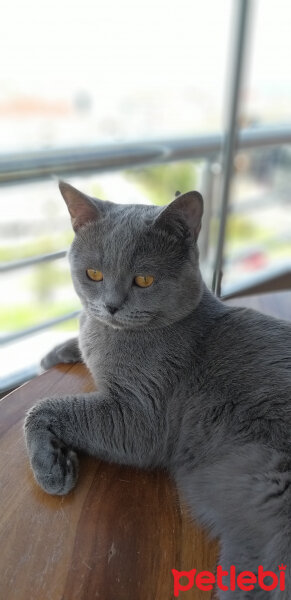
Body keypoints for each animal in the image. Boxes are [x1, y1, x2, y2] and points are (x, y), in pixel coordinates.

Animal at [24, 184, 290, 600]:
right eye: (94, 274)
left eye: (144, 281)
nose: (111, 306)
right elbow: (80, 337)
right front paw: (56, 352)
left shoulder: (139, 416)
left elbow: (44, 407)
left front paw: (51, 469)